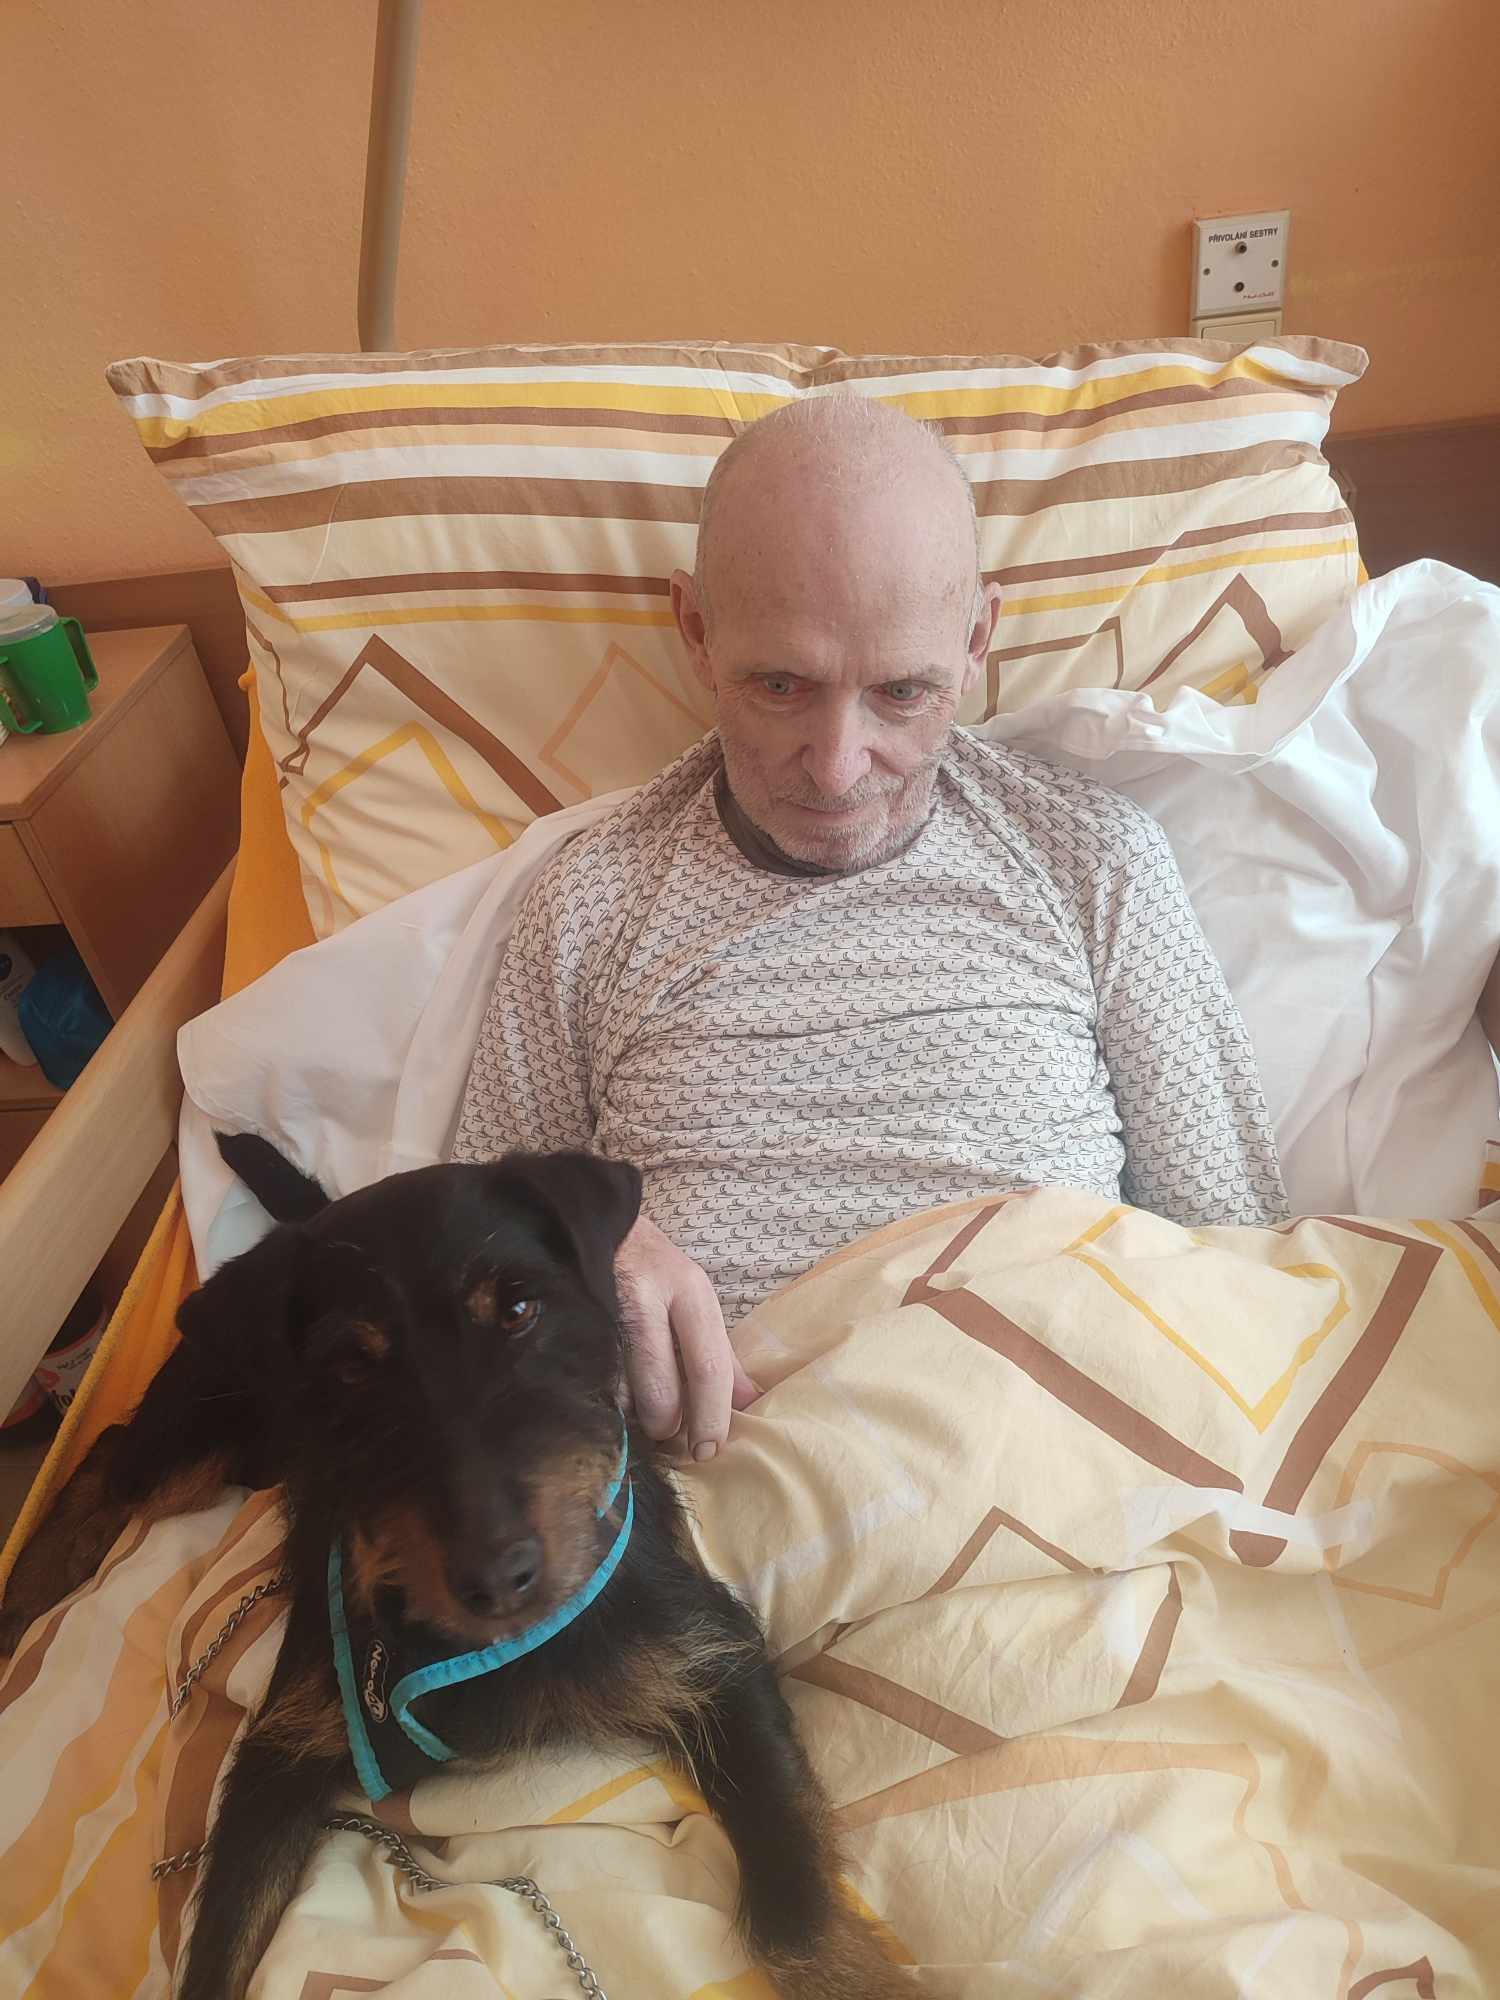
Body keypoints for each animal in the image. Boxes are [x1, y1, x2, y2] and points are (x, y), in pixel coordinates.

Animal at [0, 1138, 909, 1999]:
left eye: (520, 1308)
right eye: (351, 1363)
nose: (499, 1576)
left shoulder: (715, 1659)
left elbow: (794, 1910)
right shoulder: (277, 1755)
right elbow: (219, 1950)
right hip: (203, 1425)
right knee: (111, 1450)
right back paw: (32, 1584)